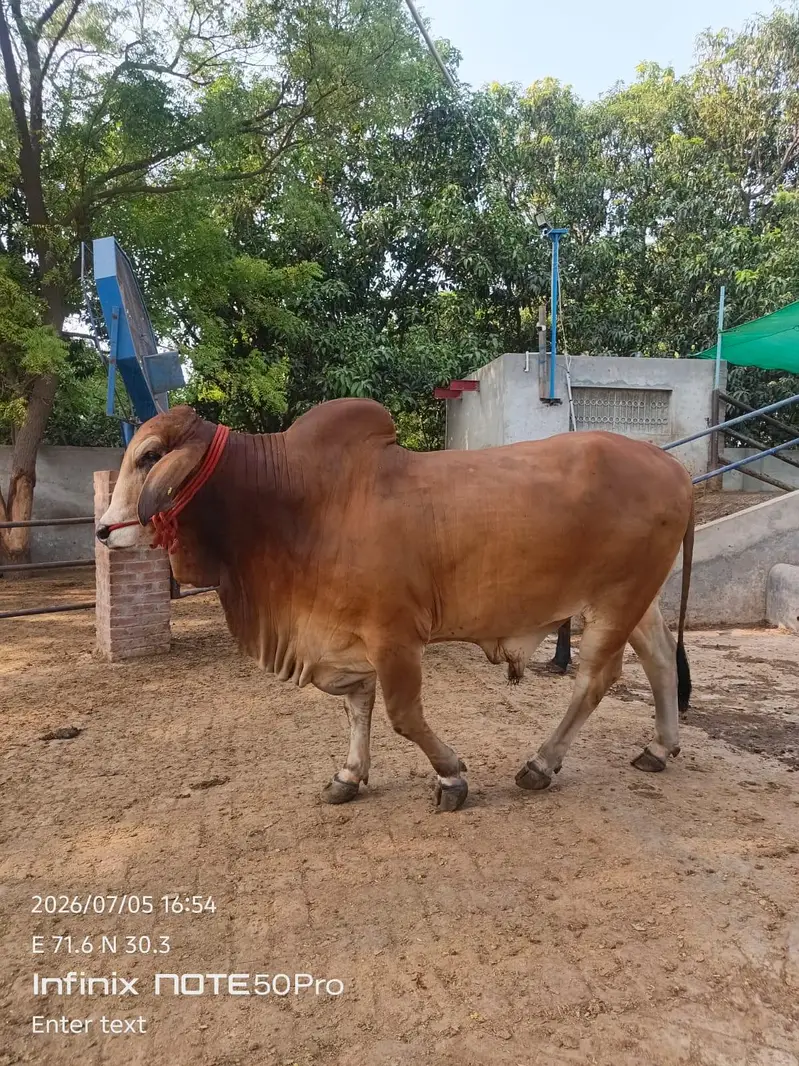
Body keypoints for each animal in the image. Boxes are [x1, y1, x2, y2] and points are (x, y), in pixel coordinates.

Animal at [96, 399, 694, 812]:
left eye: (150, 457)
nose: (103, 531)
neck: (294, 504)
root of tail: (676, 470)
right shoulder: (344, 635)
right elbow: (355, 706)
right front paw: (349, 775)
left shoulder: (395, 636)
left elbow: (402, 715)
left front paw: (451, 776)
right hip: (637, 599)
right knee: (661, 657)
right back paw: (659, 748)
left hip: (616, 598)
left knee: (596, 677)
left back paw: (541, 764)